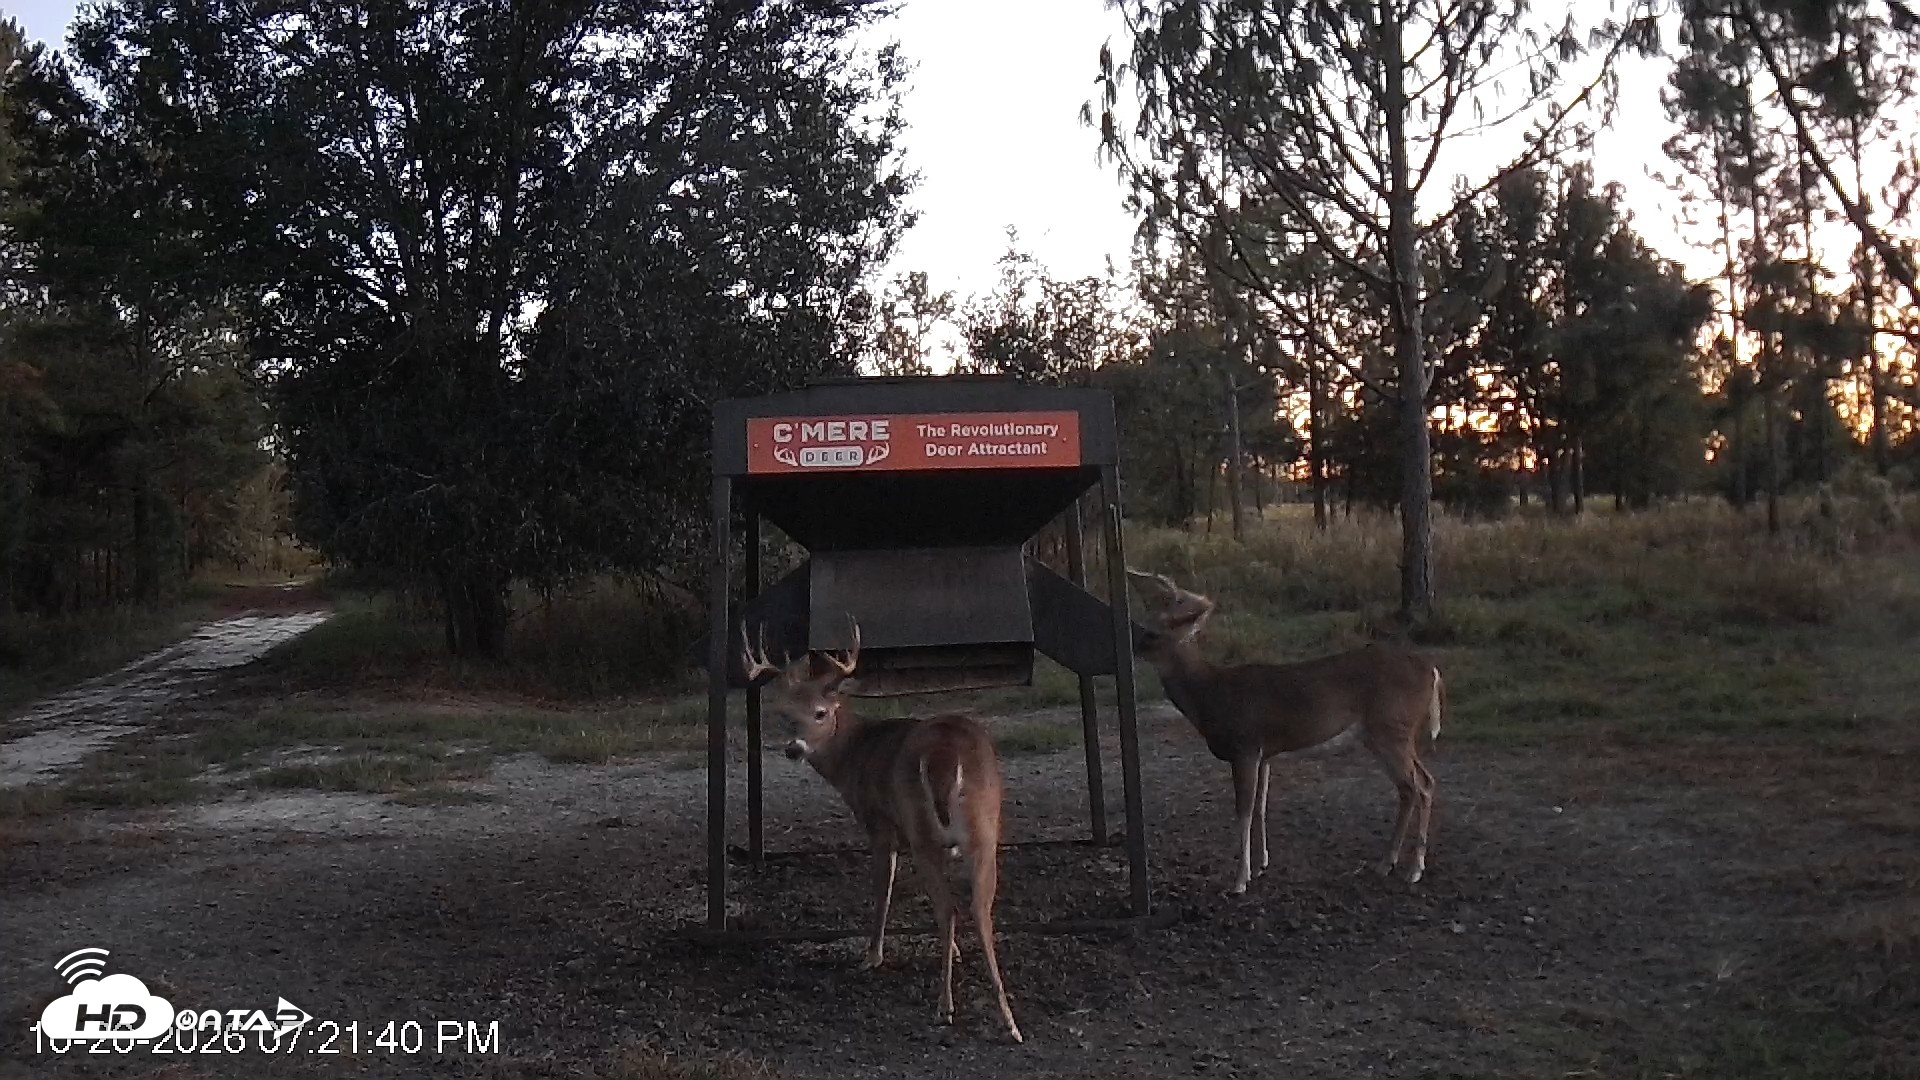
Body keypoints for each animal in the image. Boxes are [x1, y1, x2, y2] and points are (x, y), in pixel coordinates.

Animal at [740, 619, 1023, 1044]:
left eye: (820, 712)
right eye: (786, 715)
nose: (793, 749)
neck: (856, 754)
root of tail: (943, 757)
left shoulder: (879, 823)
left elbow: (882, 888)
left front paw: (872, 954)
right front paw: (955, 951)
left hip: (926, 832)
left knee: (950, 909)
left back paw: (945, 1007)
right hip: (982, 827)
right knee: (977, 908)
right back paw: (1008, 1021)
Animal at [1125, 570, 1445, 896]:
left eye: (1152, 632)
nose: (1132, 646)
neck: (1211, 695)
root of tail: (1431, 670)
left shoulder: (1245, 746)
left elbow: (1243, 811)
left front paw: (1240, 879)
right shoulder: (1265, 752)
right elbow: (1261, 806)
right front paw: (1261, 864)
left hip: (1392, 729)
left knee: (1418, 786)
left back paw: (1414, 869)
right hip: (1386, 734)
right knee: (1417, 784)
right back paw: (1387, 863)